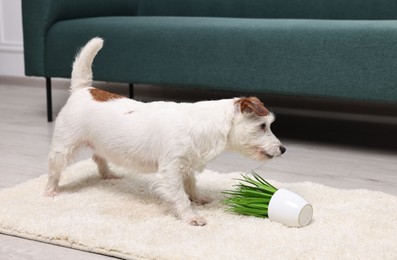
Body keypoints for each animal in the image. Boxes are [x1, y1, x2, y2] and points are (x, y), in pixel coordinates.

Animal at [46, 37, 284, 226]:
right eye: (263, 126)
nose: (283, 149)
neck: (203, 124)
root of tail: (83, 89)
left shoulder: (186, 167)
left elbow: (191, 185)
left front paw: (199, 198)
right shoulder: (171, 171)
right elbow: (180, 196)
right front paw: (191, 216)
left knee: (99, 157)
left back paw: (108, 175)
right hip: (63, 148)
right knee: (54, 171)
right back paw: (51, 191)